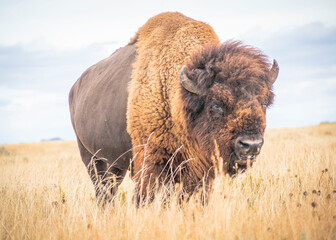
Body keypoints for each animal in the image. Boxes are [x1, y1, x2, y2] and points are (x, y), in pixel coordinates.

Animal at [69, 12, 278, 202]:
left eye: (264, 102)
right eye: (216, 104)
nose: (251, 145)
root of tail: (75, 88)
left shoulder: (199, 171)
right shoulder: (150, 162)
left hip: (115, 165)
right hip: (93, 159)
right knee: (103, 191)